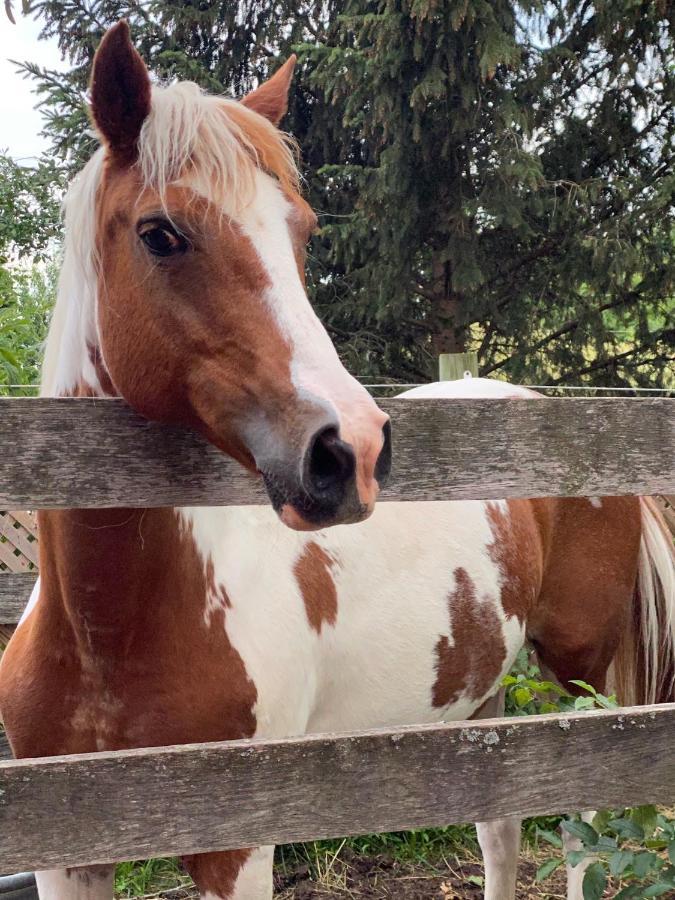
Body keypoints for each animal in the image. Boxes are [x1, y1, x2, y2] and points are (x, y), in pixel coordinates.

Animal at [1, 21, 675, 900]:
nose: (348, 449)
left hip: (585, 687)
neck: (102, 632)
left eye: (300, 231)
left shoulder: (236, 848)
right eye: (160, 234)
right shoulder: (67, 848)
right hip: (483, 693)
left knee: (586, 840)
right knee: (500, 830)